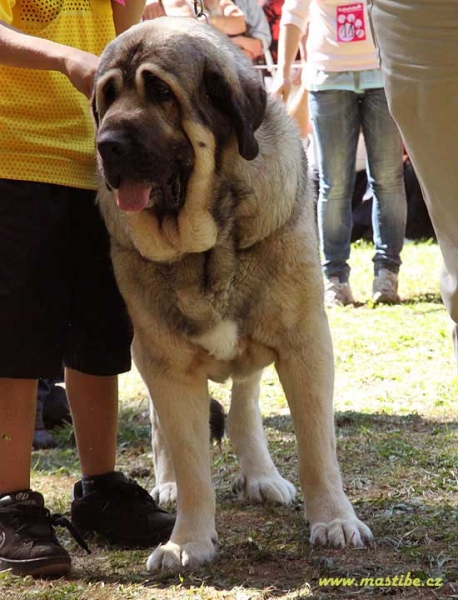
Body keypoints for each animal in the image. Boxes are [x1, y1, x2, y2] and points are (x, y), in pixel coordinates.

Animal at [93, 17, 372, 572]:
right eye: (107, 96)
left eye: (161, 92)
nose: (106, 143)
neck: (209, 243)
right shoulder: (166, 360)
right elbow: (190, 458)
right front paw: (187, 541)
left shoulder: (304, 343)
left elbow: (317, 447)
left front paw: (334, 519)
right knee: (164, 427)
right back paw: (168, 484)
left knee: (245, 399)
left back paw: (261, 474)